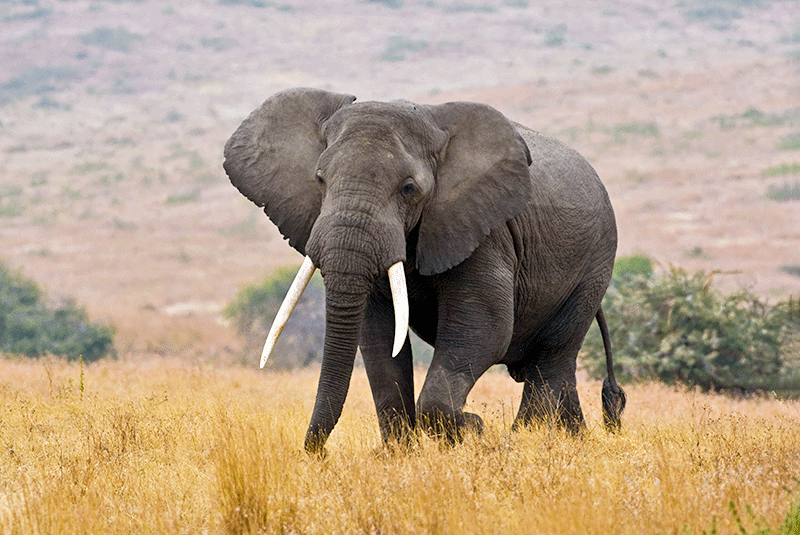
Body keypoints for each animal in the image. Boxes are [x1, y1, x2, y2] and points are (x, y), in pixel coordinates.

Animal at [223, 87, 624, 452]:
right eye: (320, 179)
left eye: (408, 188)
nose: (316, 454)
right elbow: (379, 338)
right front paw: (400, 455)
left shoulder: (485, 230)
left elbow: (485, 328)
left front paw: (471, 427)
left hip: (594, 265)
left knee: (551, 357)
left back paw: (530, 440)